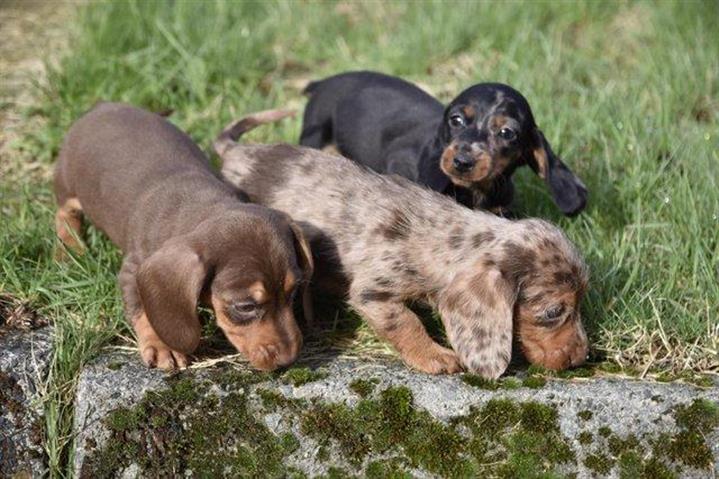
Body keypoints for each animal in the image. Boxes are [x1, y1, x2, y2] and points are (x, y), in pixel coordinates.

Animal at [53, 102, 312, 372]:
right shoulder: (133, 270)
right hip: (67, 185)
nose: (289, 359)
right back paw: (69, 249)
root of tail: (102, 106)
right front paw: (163, 345)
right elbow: (142, 308)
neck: (204, 204)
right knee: (64, 214)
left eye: (294, 290)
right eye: (246, 306)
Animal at [217, 112, 588, 378]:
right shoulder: (373, 292)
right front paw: (435, 356)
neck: (441, 234)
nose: (581, 358)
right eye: (553, 312)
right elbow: (407, 324)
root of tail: (238, 152)